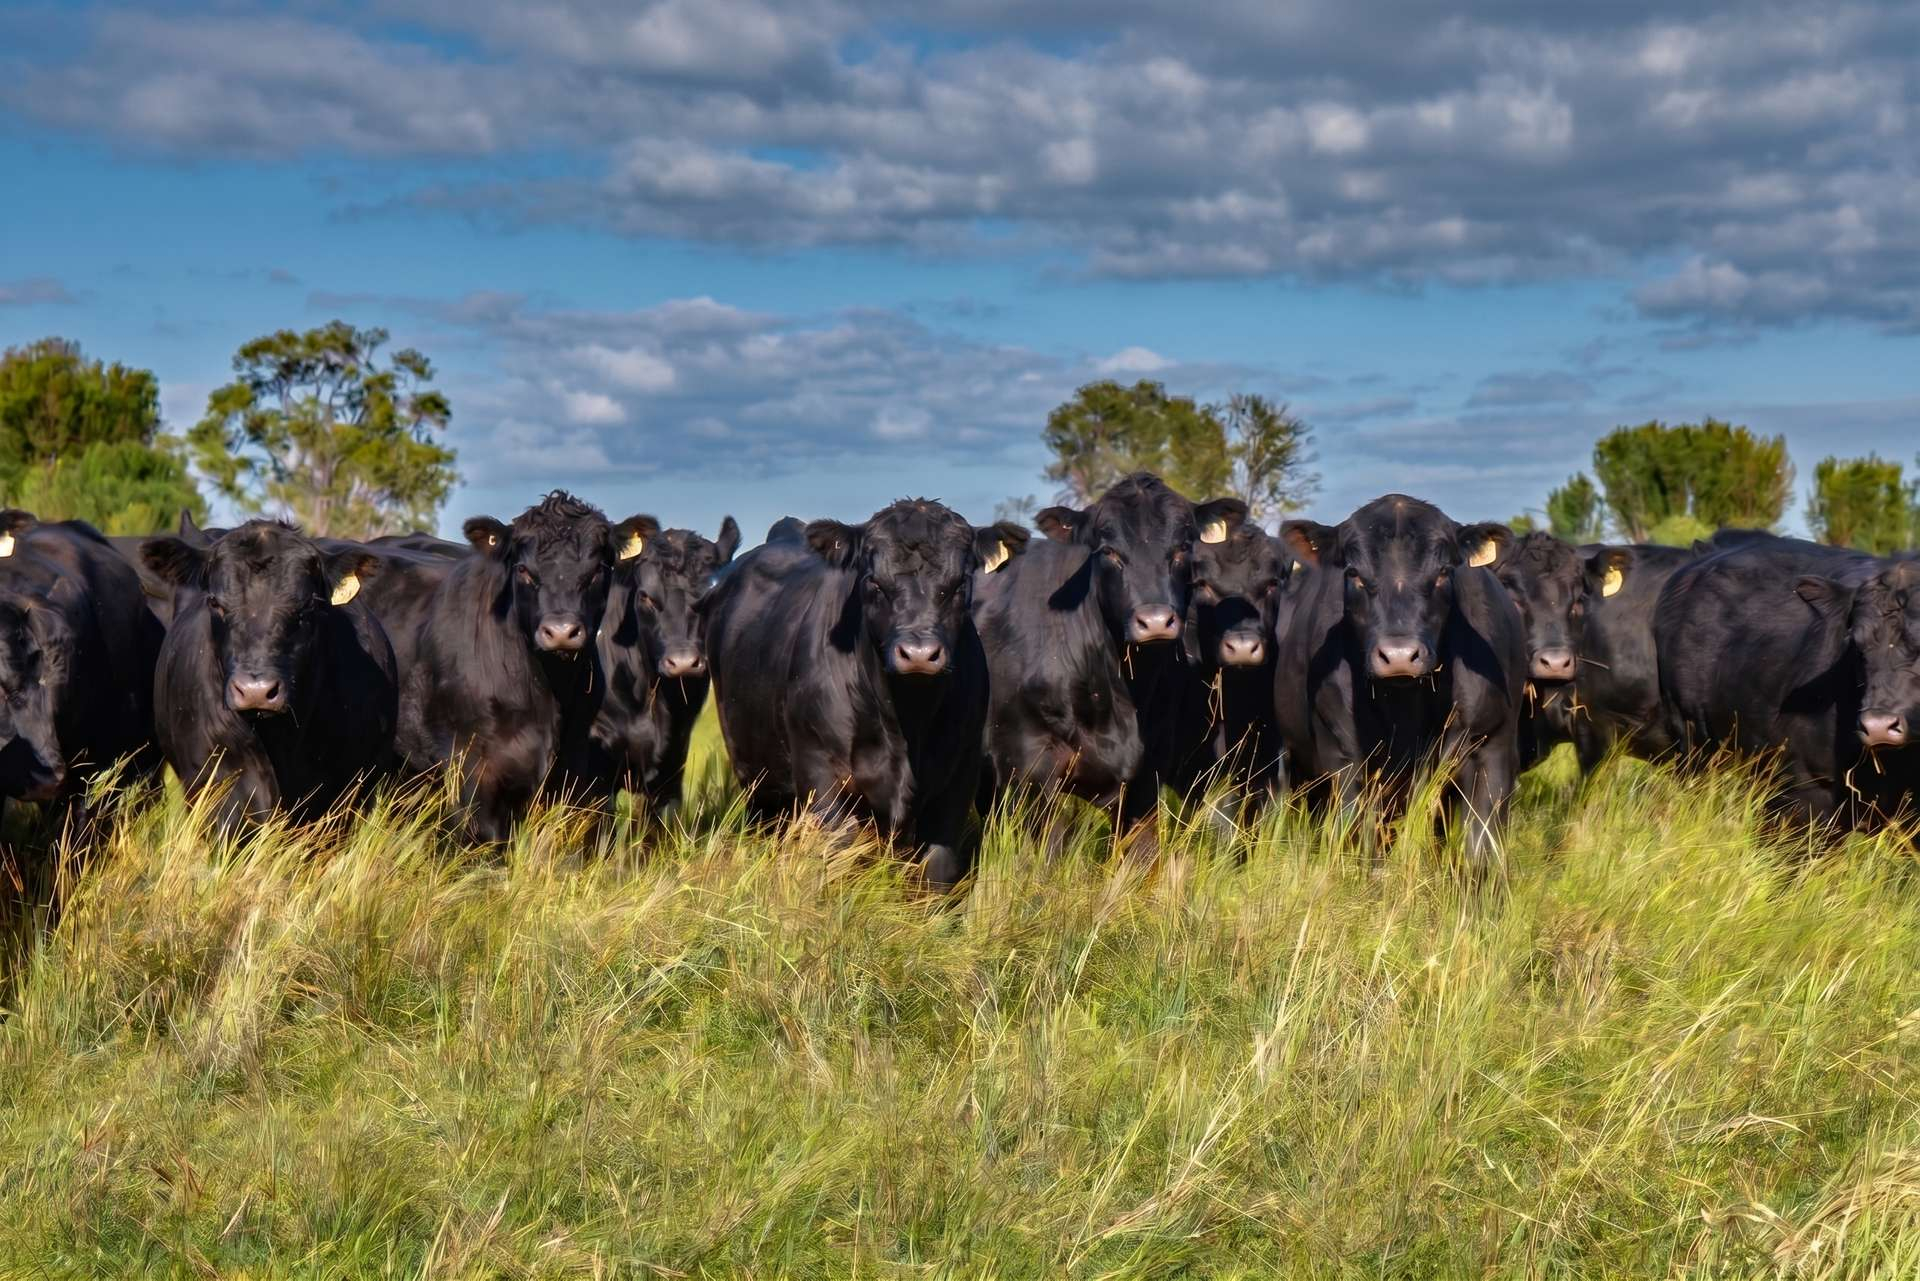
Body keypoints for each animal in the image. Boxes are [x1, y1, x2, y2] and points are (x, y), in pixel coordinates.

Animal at [703, 499, 1027, 888]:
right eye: (873, 581)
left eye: (960, 583)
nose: (919, 654)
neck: (907, 719)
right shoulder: (821, 775)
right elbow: (838, 856)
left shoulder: (956, 780)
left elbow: (937, 870)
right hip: (756, 775)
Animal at [1274, 495, 1528, 875]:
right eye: (1353, 573)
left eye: (1443, 571)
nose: (1398, 655)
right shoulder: (1344, 757)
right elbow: (1360, 842)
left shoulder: (1492, 747)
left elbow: (1481, 850)